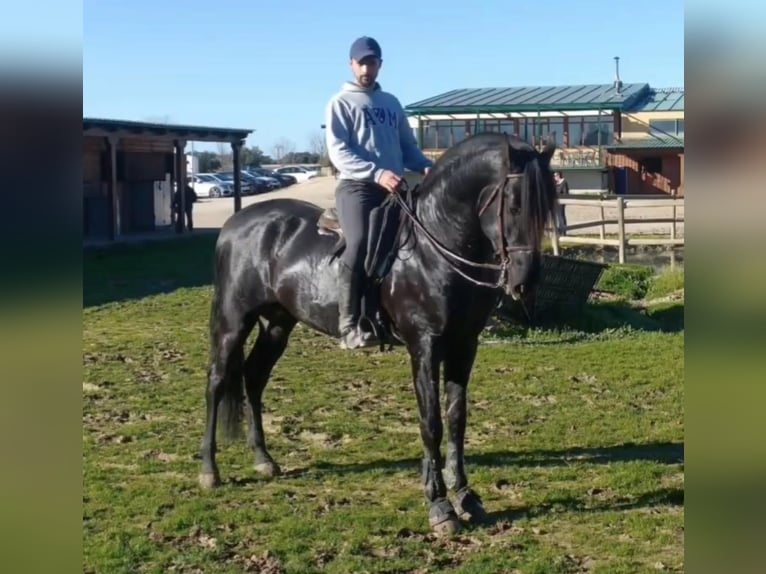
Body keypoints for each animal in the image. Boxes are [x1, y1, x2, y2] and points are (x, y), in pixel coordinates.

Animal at [198, 132, 558, 535]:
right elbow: (431, 423)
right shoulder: (424, 346)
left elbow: (456, 420)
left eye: (547, 206)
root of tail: (236, 222)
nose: (526, 281)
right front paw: (439, 505)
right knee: (216, 381)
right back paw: (210, 470)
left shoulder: (464, 345)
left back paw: (263, 459)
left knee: (254, 378)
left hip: (278, 323)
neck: (434, 248)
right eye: (514, 204)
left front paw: (466, 496)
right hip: (233, 321)